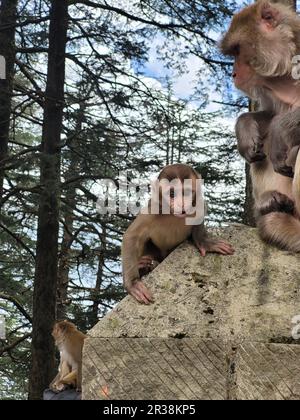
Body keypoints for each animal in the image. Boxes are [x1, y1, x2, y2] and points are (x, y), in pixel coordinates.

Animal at [122, 164, 234, 306]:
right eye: (171, 193)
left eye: (187, 192)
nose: (182, 205)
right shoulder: (152, 210)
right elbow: (132, 236)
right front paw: (134, 284)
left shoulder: (198, 203)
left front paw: (205, 242)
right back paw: (145, 266)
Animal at [220, 0, 300, 251]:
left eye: (238, 50)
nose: (233, 73)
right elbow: (271, 114)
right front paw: (245, 128)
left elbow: (279, 130)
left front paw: (280, 130)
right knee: (261, 150)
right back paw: (270, 204)